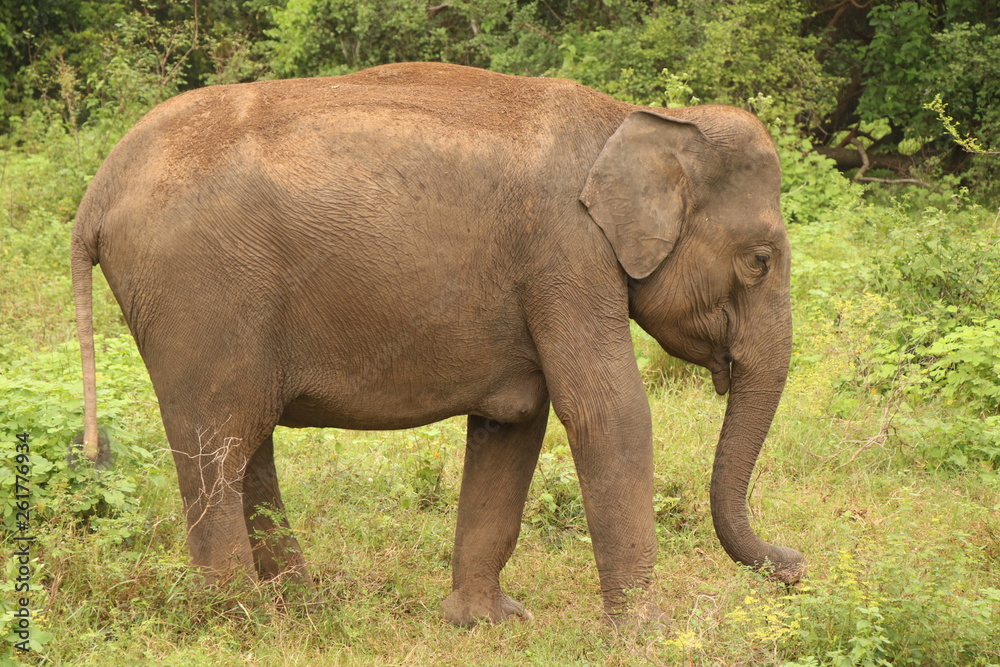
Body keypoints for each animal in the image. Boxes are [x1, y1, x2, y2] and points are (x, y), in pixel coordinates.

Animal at [72, 61, 804, 628]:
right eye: (760, 260)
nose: (794, 566)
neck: (636, 119)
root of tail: (97, 192)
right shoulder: (567, 256)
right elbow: (607, 412)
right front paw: (650, 635)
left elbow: (514, 420)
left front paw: (484, 621)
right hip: (201, 293)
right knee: (219, 444)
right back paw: (240, 619)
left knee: (245, 445)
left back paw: (302, 607)